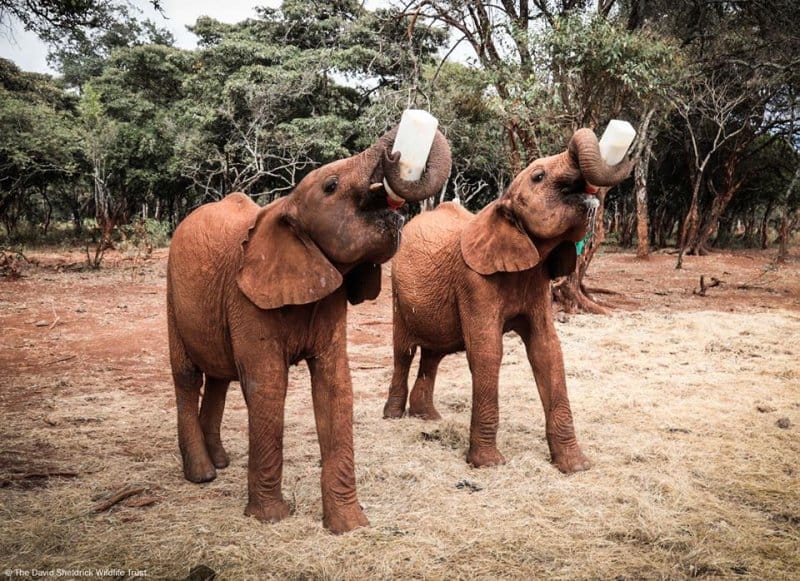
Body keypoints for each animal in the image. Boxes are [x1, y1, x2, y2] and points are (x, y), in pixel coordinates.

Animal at [167, 124, 452, 533]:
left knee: (219, 376)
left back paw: (220, 462)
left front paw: (349, 525)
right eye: (331, 186)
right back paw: (203, 474)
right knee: (188, 376)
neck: (285, 206)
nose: (396, 155)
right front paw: (270, 518)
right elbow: (268, 385)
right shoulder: (246, 297)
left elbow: (335, 386)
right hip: (172, 292)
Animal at [383, 128, 633, 473]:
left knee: (433, 354)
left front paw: (575, 466)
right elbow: (487, 352)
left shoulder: (538, 283)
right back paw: (394, 417)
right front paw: (488, 464)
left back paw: (429, 418)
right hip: (397, 290)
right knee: (404, 351)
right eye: (539, 176)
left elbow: (547, 350)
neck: (502, 205)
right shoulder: (474, 281)